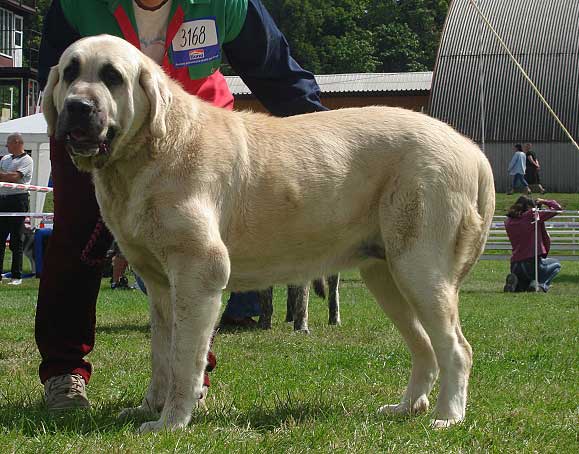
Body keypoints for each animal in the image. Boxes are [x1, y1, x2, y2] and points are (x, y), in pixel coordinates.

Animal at [43, 35, 496, 432]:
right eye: (70, 72)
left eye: (112, 76)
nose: (78, 107)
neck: (148, 151)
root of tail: (472, 150)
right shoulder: (160, 286)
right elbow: (161, 354)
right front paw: (147, 407)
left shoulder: (198, 274)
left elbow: (185, 359)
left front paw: (169, 422)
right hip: (387, 276)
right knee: (425, 347)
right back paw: (407, 407)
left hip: (420, 270)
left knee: (457, 348)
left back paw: (448, 416)